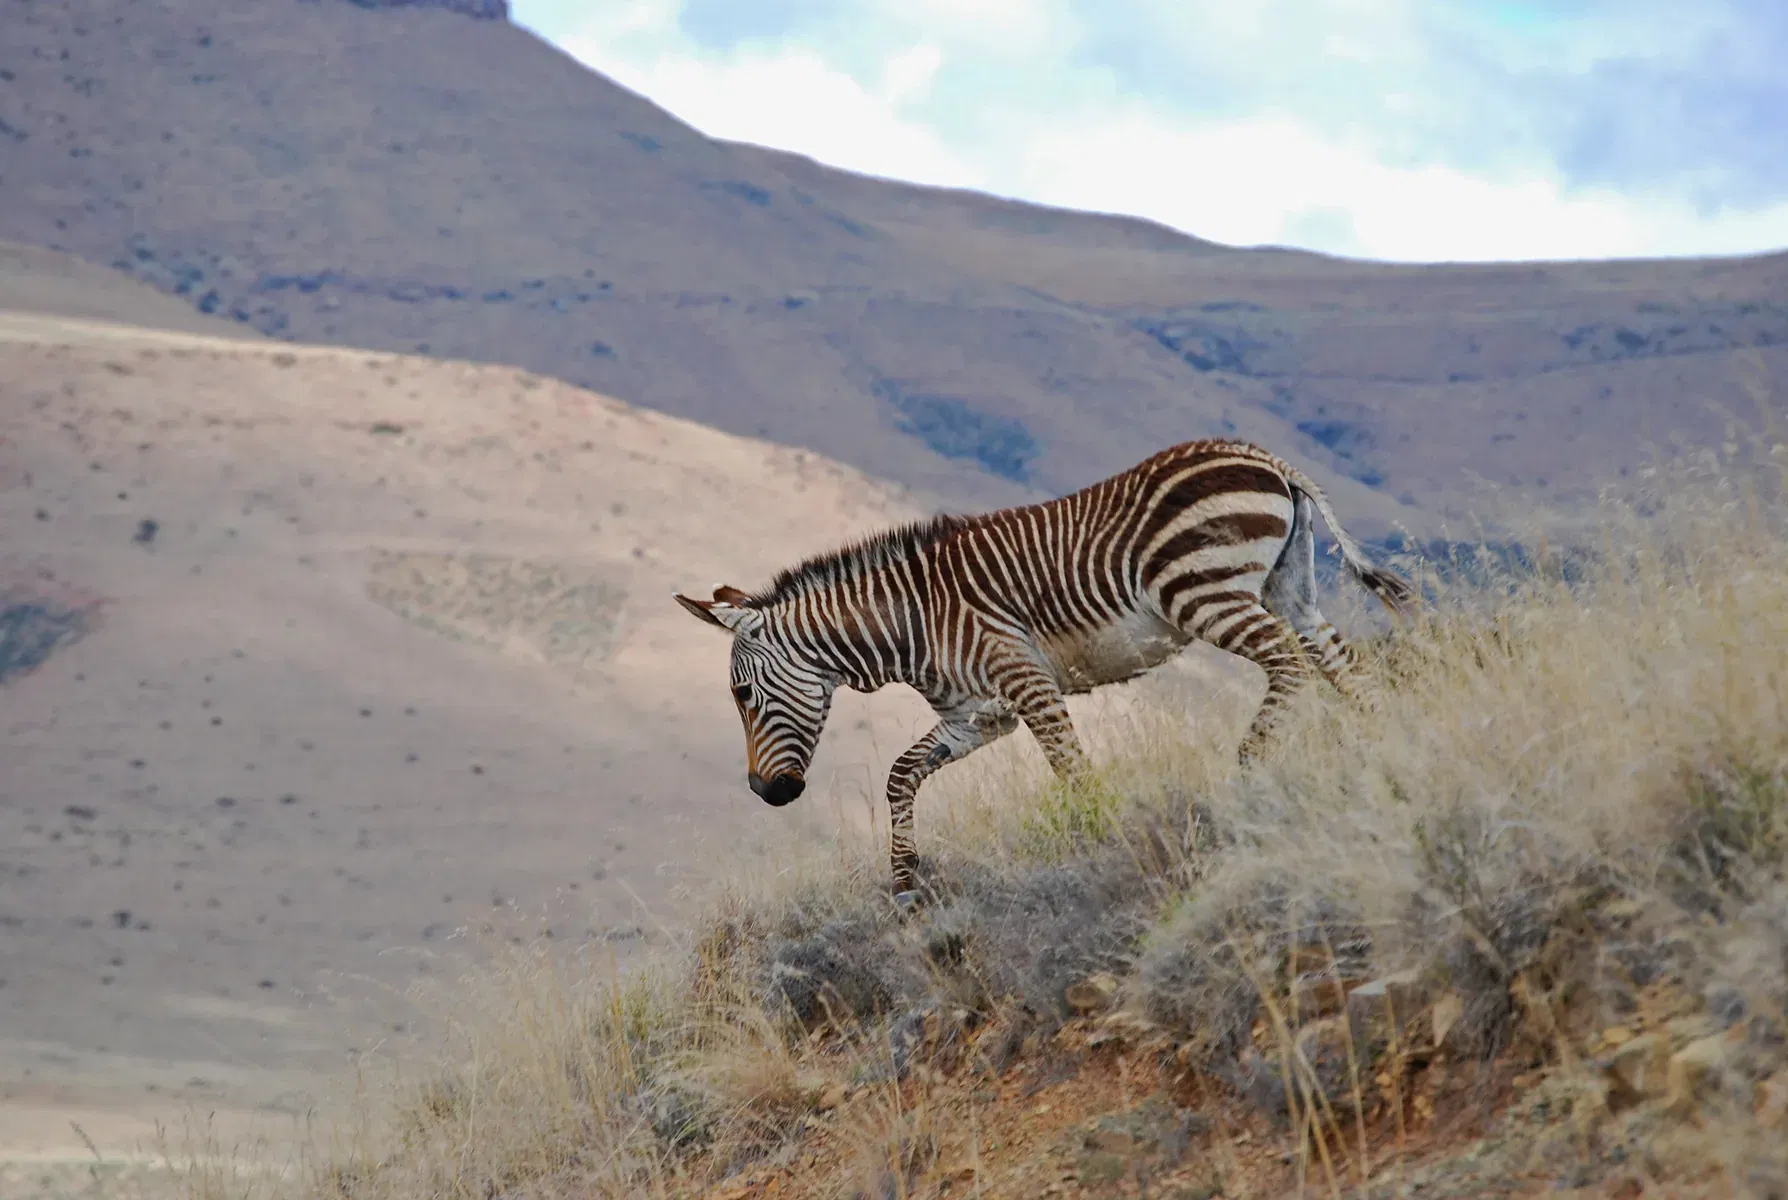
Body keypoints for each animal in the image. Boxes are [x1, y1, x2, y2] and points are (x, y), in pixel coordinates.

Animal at [675, 439, 1414, 903]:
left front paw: (1099, 842)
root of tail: (1266, 457)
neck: (909, 621)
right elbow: (899, 775)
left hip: (1203, 593)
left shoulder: (1024, 683)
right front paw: (905, 884)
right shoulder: (978, 717)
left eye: (742, 694)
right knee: (1342, 666)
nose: (765, 793)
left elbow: (1073, 772)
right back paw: (1383, 752)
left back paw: (1249, 769)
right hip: (1288, 590)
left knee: (1287, 663)